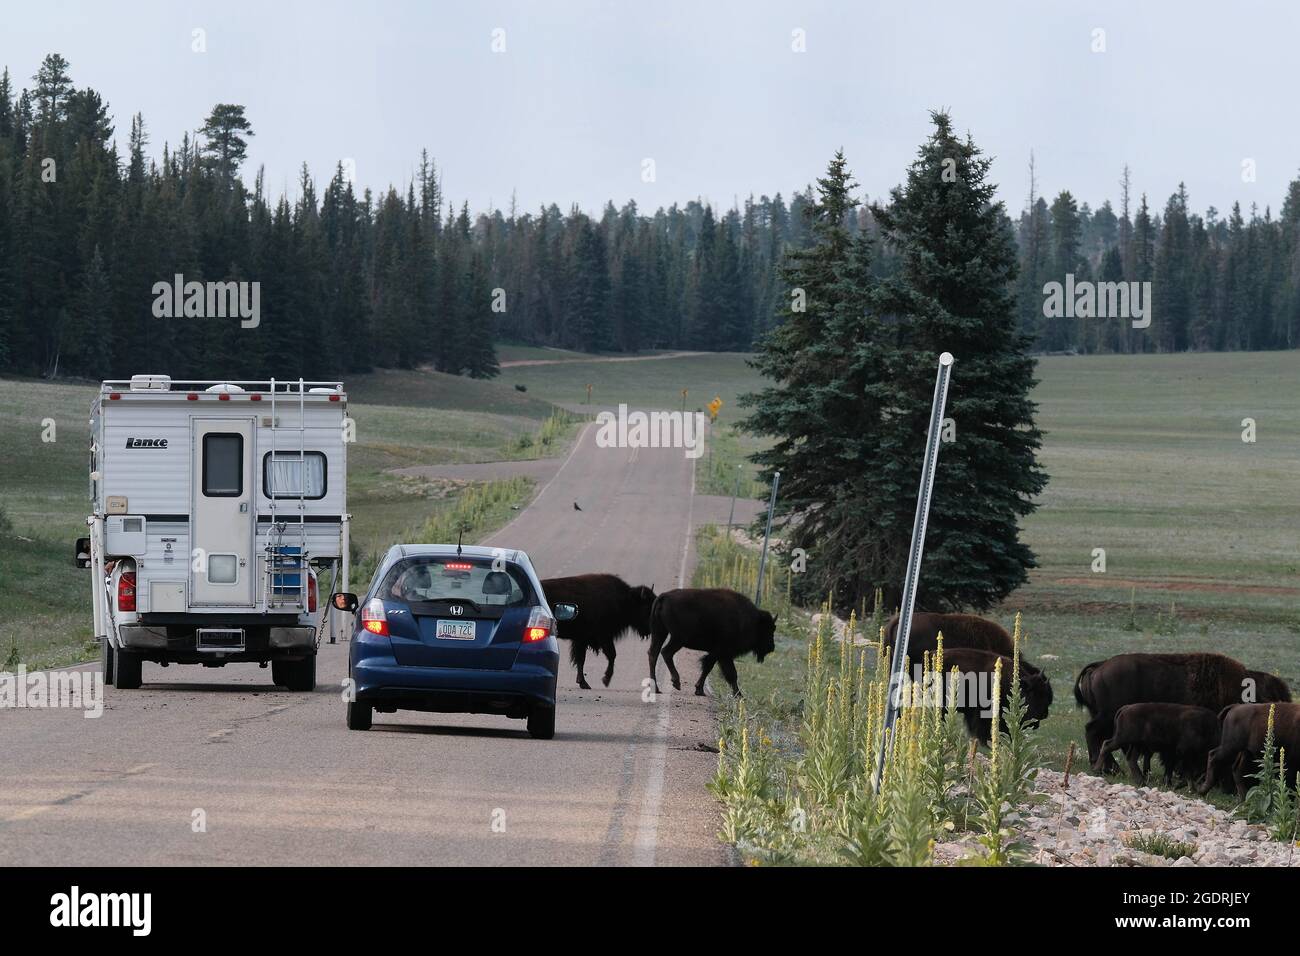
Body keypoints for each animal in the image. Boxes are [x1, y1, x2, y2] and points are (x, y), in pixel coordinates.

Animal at [1092, 702, 1222, 785]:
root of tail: (1125, 708)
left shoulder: (1172, 752)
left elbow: (1170, 766)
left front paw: (1168, 783)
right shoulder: (1181, 752)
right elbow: (1177, 767)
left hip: (1136, 744)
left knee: (1131, 759)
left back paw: (1141, 781)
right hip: (1122, 739)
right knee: (1107, 745)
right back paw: (1096, 770)